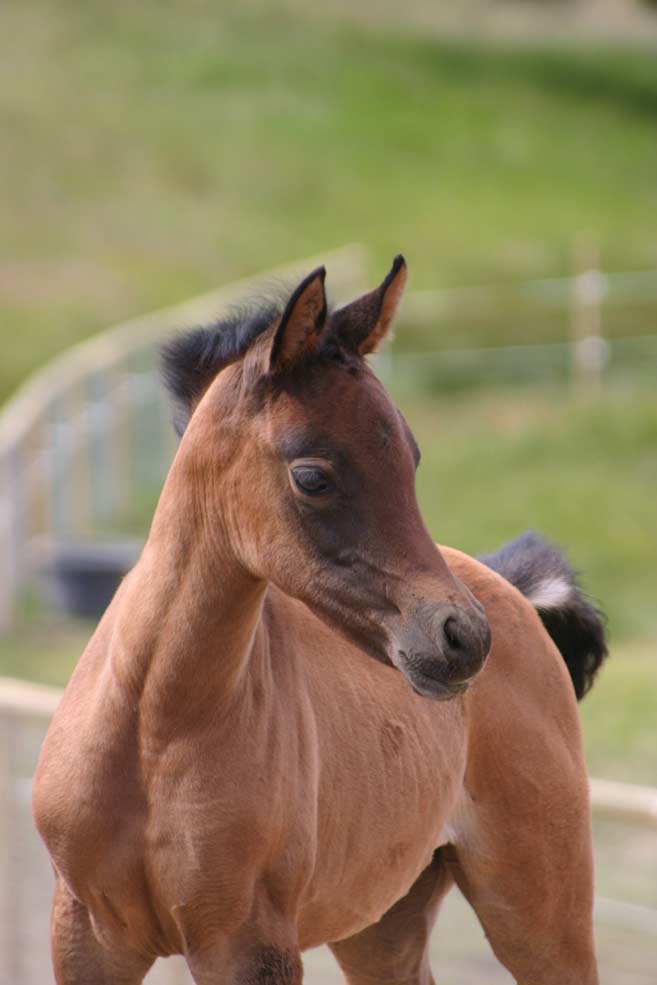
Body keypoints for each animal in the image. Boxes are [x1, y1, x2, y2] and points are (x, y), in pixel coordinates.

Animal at [32, 258, 604, 980]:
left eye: (411, 459)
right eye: (312, 476)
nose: (463, 639)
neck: (152, 725)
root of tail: (509, 587)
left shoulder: (249, 945)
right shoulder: (85, 936)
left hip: (540, 908)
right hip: (383, 919)